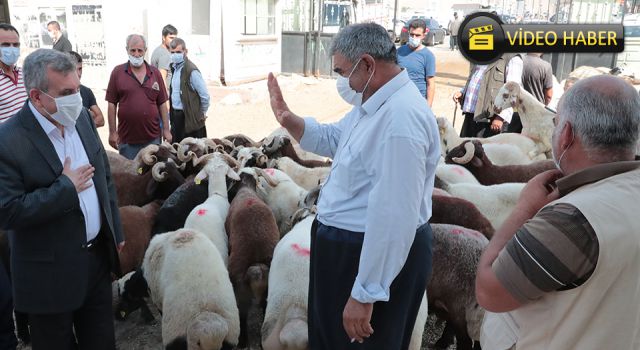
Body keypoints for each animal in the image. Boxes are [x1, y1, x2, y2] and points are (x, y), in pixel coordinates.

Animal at [225, 168, 280, 348]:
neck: (246, 190)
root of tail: (257, 268)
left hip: (239, 290)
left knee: (241, 316)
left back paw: (242, 342)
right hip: (270, 291)